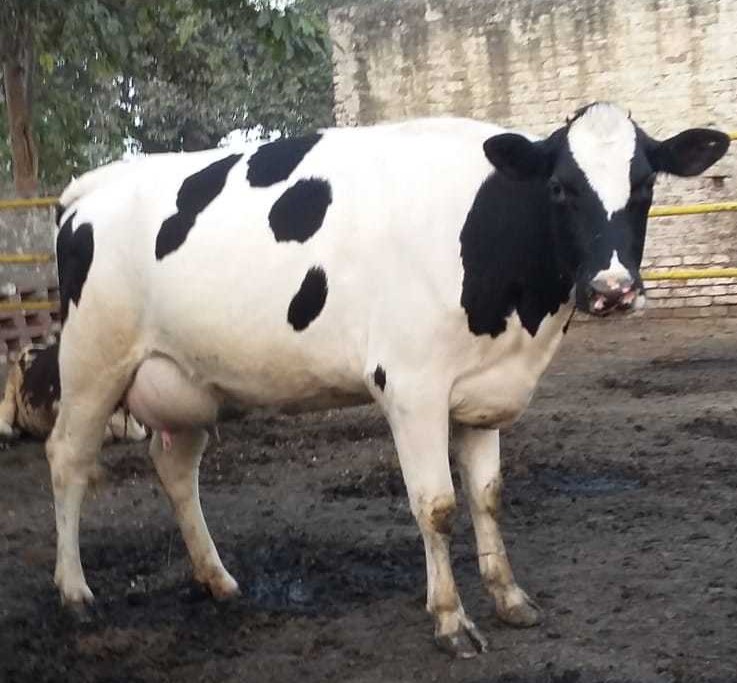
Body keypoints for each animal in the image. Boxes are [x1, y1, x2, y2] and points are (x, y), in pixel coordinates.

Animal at [49, 105, 728, 656]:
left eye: (645, 186)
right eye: (560, 188)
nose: (613, 288)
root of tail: (93, 185)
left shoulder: (483, 390)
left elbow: (488, 496)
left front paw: (509, 599)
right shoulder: (412, 387)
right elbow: (438, 506)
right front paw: (451, 621)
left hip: (188, 381)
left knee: (174, 469)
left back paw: (218, 580)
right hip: (91, 362)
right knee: (67, 459)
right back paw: (75, 594)